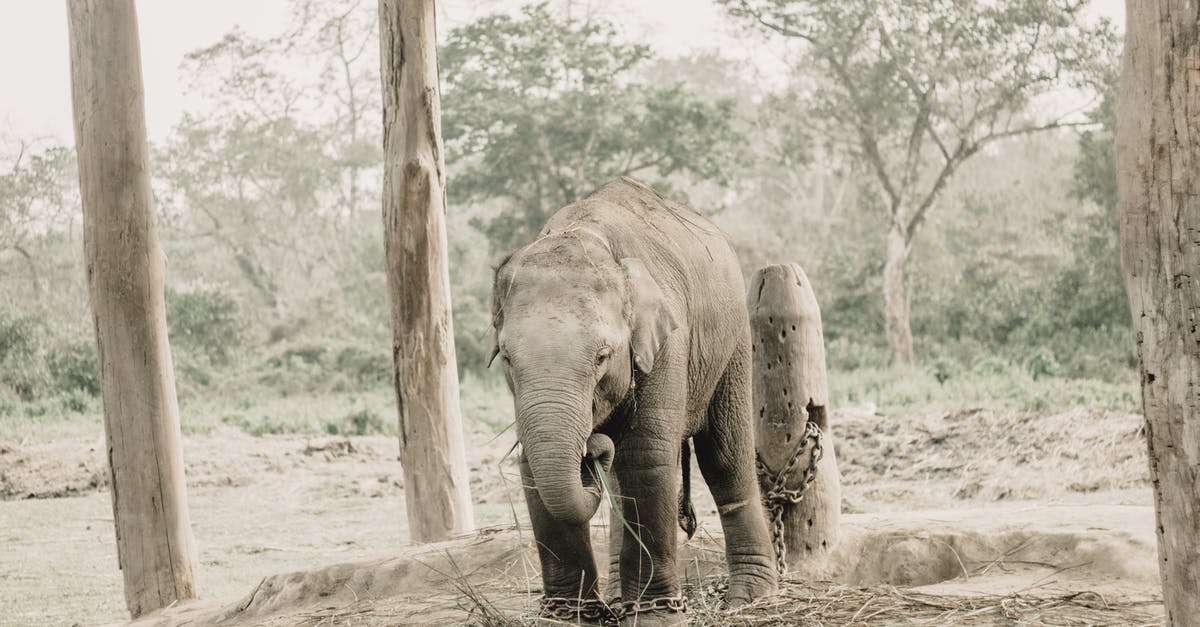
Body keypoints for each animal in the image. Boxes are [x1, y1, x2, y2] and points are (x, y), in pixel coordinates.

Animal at [489, 176, 777, 624]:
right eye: (506, 358)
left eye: (602, 357)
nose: (592, 448)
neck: (585, 231)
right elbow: (531, 461)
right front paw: (568, 617)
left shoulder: (667, 343)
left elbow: (645, 455)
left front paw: (656, 616)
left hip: (732, 343)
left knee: (723, 457)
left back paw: (751, 598)